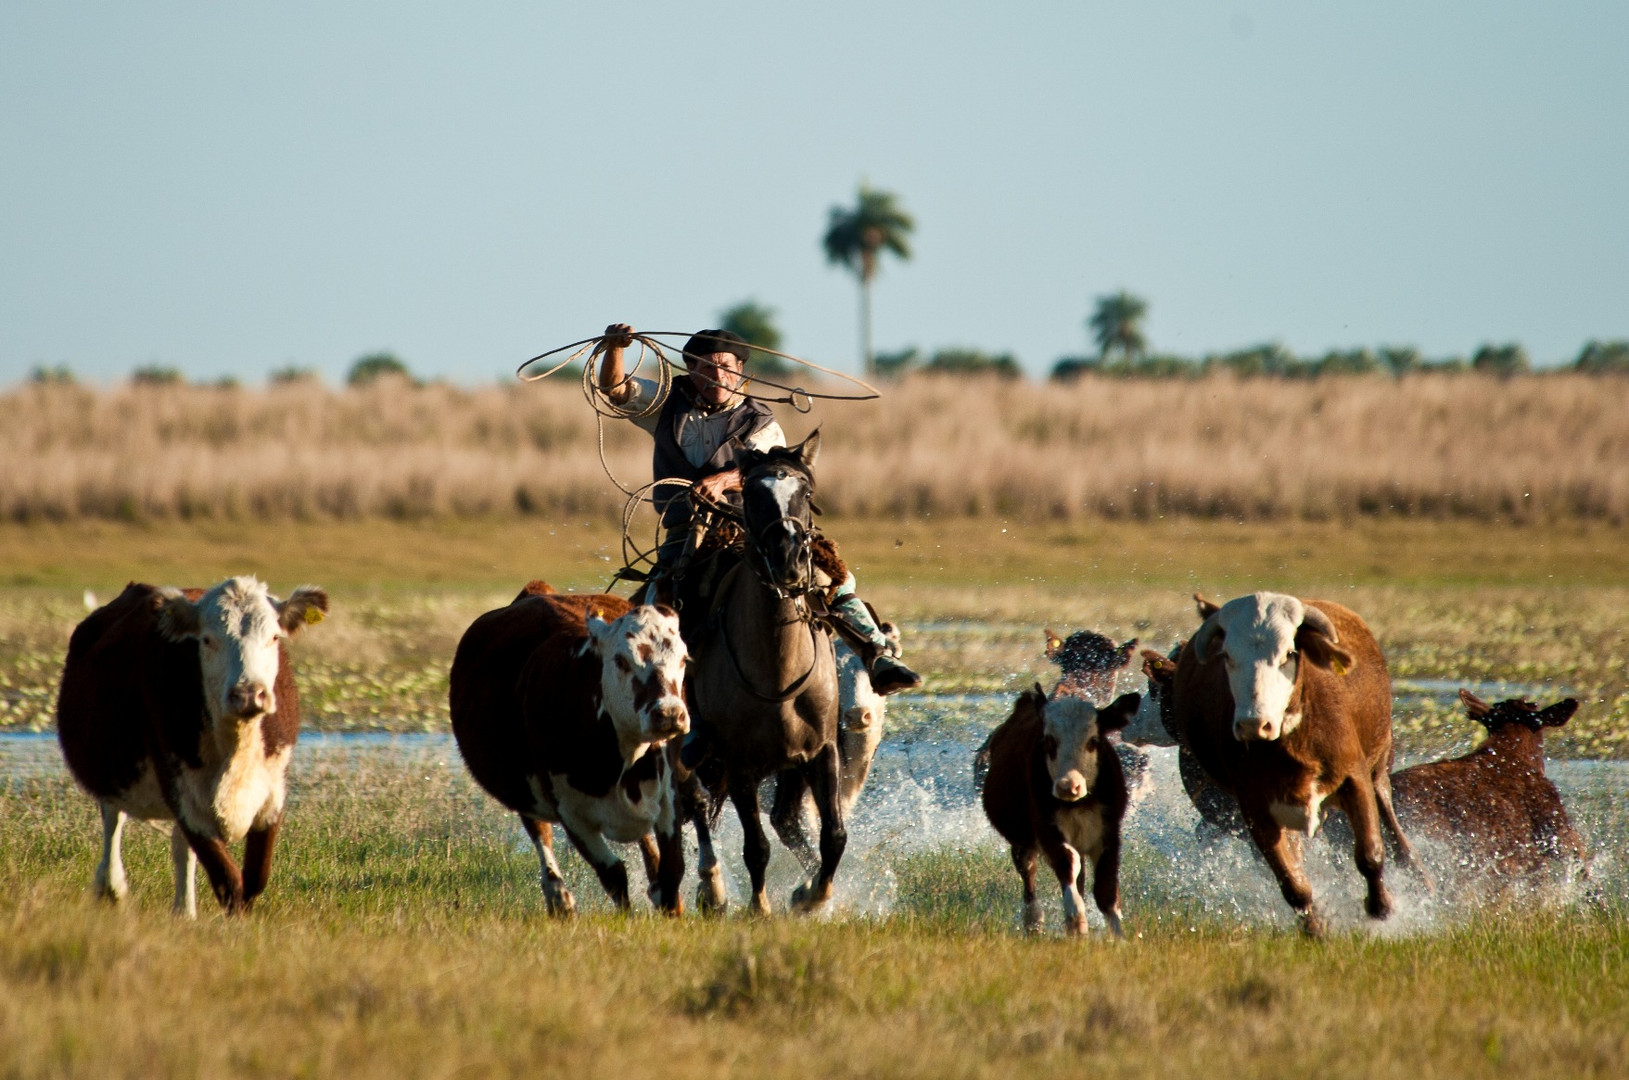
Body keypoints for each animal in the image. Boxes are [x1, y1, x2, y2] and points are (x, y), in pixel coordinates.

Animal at [57, 579, 330, 918]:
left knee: (179, 848)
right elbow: (228, 880)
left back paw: (182, 911)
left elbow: (253, 879)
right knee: (113, 820)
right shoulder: (182, 792)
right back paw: (113, 887)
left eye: (274, 637)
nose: (248, 694)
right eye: (208, 640)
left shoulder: (272, 792)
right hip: (110, 768)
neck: (235, 747)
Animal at [449, 579, 690, 918]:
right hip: (525, 789)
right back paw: (558, 897)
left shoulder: (668, 794)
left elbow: (672, 870)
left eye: (683, 659)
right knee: (539, 832)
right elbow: (613, 874)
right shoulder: (570, 812)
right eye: (621, 660)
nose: (669, 713)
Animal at [680, 436, 847, 918]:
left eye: (805, 492)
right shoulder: (740, 767)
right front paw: (759, 906)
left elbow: (834, 836)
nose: (789, 561)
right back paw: (712, 889)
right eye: (753, 494)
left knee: (786, 822)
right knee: (696, 806)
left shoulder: (821, 751)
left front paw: (811, 896)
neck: (778, 674)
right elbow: (756, 848)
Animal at [1172, 592, 1427, 938]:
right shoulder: (1256, 809)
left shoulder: (1355, 778)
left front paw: (1381, 907)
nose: (1254, 724)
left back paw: (1419, 876)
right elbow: (1294, 884)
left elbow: (1370, 854)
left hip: (1379, 764)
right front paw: (1316, 929)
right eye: (1227, 655)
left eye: (1289, 654)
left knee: (1391, 821)